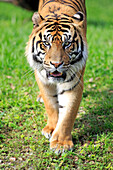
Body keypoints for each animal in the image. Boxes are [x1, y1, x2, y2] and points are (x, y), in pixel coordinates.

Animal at [25, 0, 87, 154]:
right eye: (46, 43)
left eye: (67, 44)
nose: (56, 64)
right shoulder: (43, 80)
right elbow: (51, 105)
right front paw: (51, 129)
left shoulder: (74, 83)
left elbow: (67, 115)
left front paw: (61, 143)